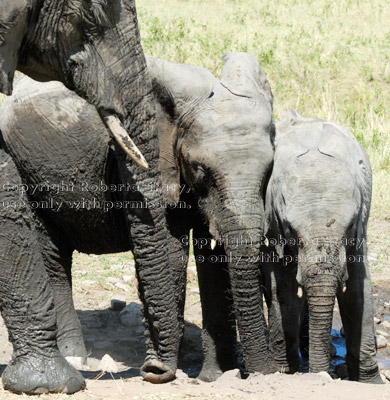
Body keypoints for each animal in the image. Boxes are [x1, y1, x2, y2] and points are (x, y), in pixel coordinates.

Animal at [0, 53, 274, 382]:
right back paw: (75, 356)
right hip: (27, 170)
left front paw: (213, 377)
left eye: (269, 170)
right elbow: (172, 251)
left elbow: (212, 259)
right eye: (200, 170)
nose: (261, 373)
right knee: (52, 256)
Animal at [262, 108, 380, 382]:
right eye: (291, 228)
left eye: (350, 225)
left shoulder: (361, 225)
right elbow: (283, 288)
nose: (321, 375)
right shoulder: (273, 223)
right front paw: (286, 372)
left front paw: (371, 382)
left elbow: (358, 288)